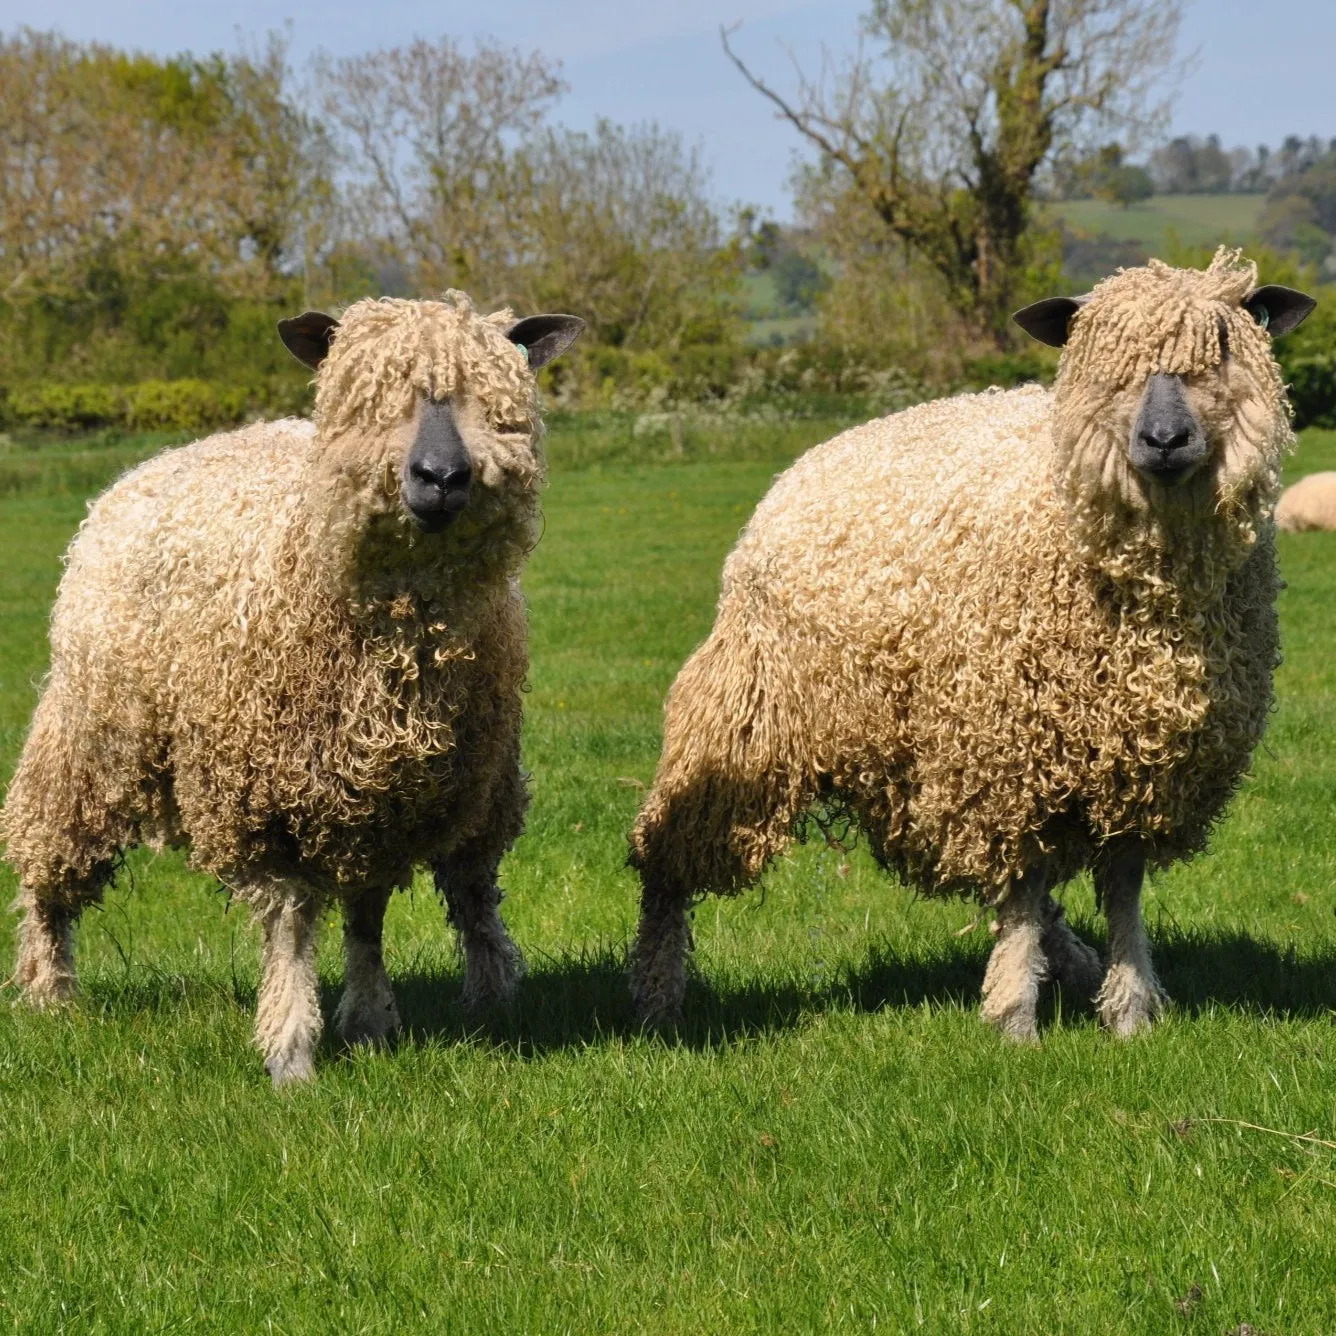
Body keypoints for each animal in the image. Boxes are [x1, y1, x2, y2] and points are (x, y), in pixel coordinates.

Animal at [2, 292, 585, 1084]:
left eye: (494, 398)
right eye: (368, 398)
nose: (440, 476)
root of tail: (159, 461)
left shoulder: (393, 792)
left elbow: (368, 914)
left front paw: (369, 1022)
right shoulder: (262, 799)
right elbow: (289, 925)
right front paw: (290, 1051)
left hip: (479, 784)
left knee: (470, 888)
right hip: (92, 731)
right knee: (49, 858)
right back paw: (47, 991)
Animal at [627, 251, 1314, 1042]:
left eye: (1223, 348)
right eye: (1101, 358)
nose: (1164, 439)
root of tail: (797, 469)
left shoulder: (1138, 761)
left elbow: (1121, 888)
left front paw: (1130, 1009)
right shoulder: (1007, 751)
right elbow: (1021, 889)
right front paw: (1015, 1016)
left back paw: (1073, 958)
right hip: (749, 719)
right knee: (665, 856)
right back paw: (657, 996)